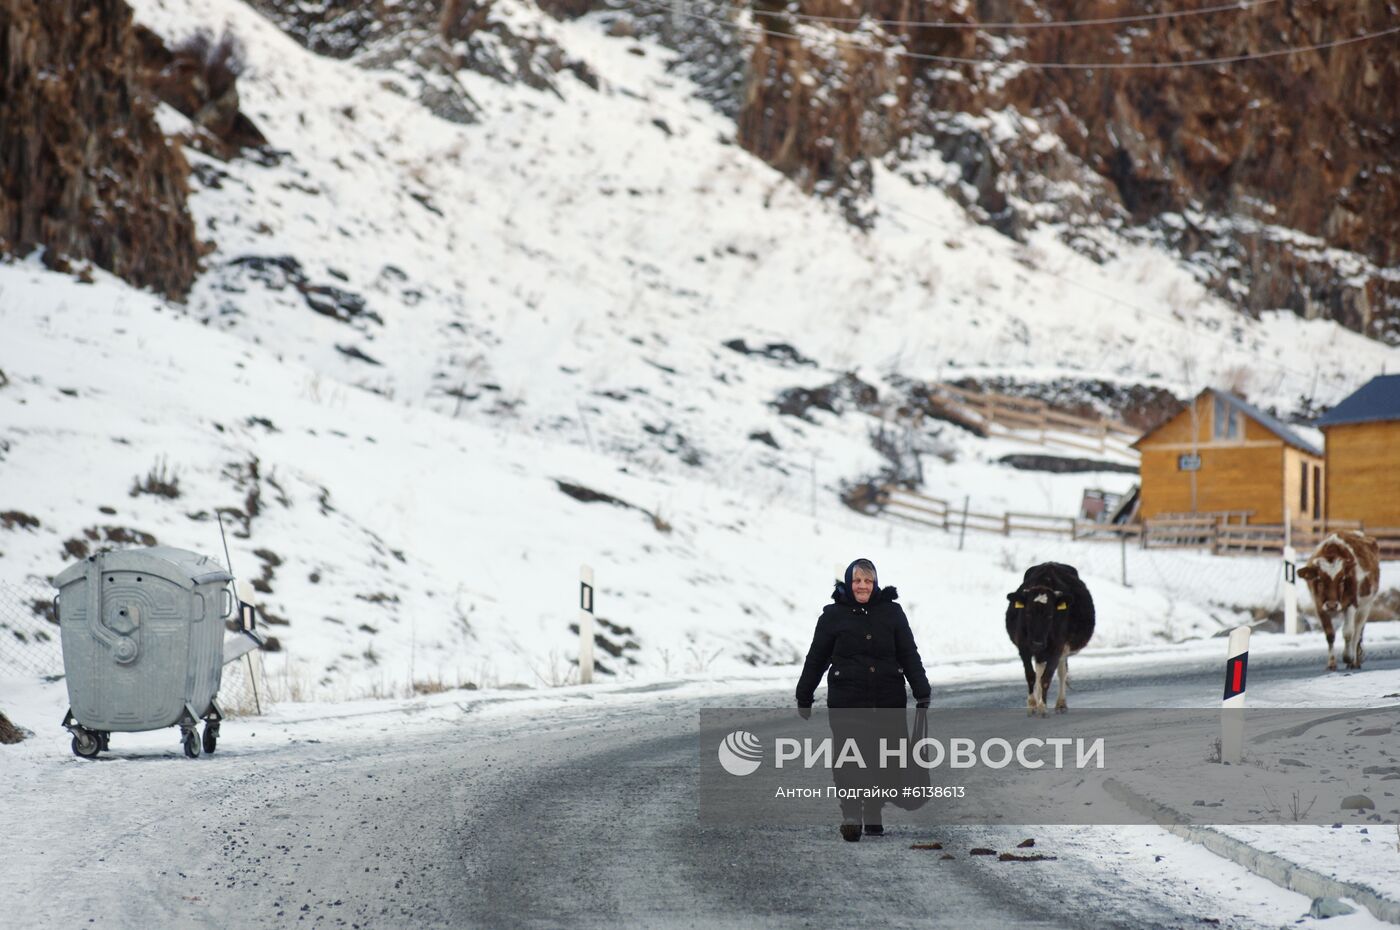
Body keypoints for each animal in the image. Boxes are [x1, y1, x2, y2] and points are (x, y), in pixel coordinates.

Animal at [1008, 563, 1092, 714]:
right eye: (1028, 613)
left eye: (1050, 615)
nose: (1037, 642)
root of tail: (1050, 563)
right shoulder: (1023, 648)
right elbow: (1031, 676)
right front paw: (1032, 705)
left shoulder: (1057, 648)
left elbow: (1046, 678)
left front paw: (1043, 707)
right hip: (1041, 653)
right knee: (1039, 671)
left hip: (1063, 650)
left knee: (1061, 672)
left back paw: (1061, 704)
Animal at [1293, 529, 1383, 669]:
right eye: (1320, 580)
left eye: (1342, 579)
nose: (1332, 605)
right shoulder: (1319, 606)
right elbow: (1329, 634)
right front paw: (1331, 663)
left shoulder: (1352, 603)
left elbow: (1348, 632)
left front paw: (1348, 657)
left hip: (1365, 606)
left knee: (1357, 631)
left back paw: (1354, 661)